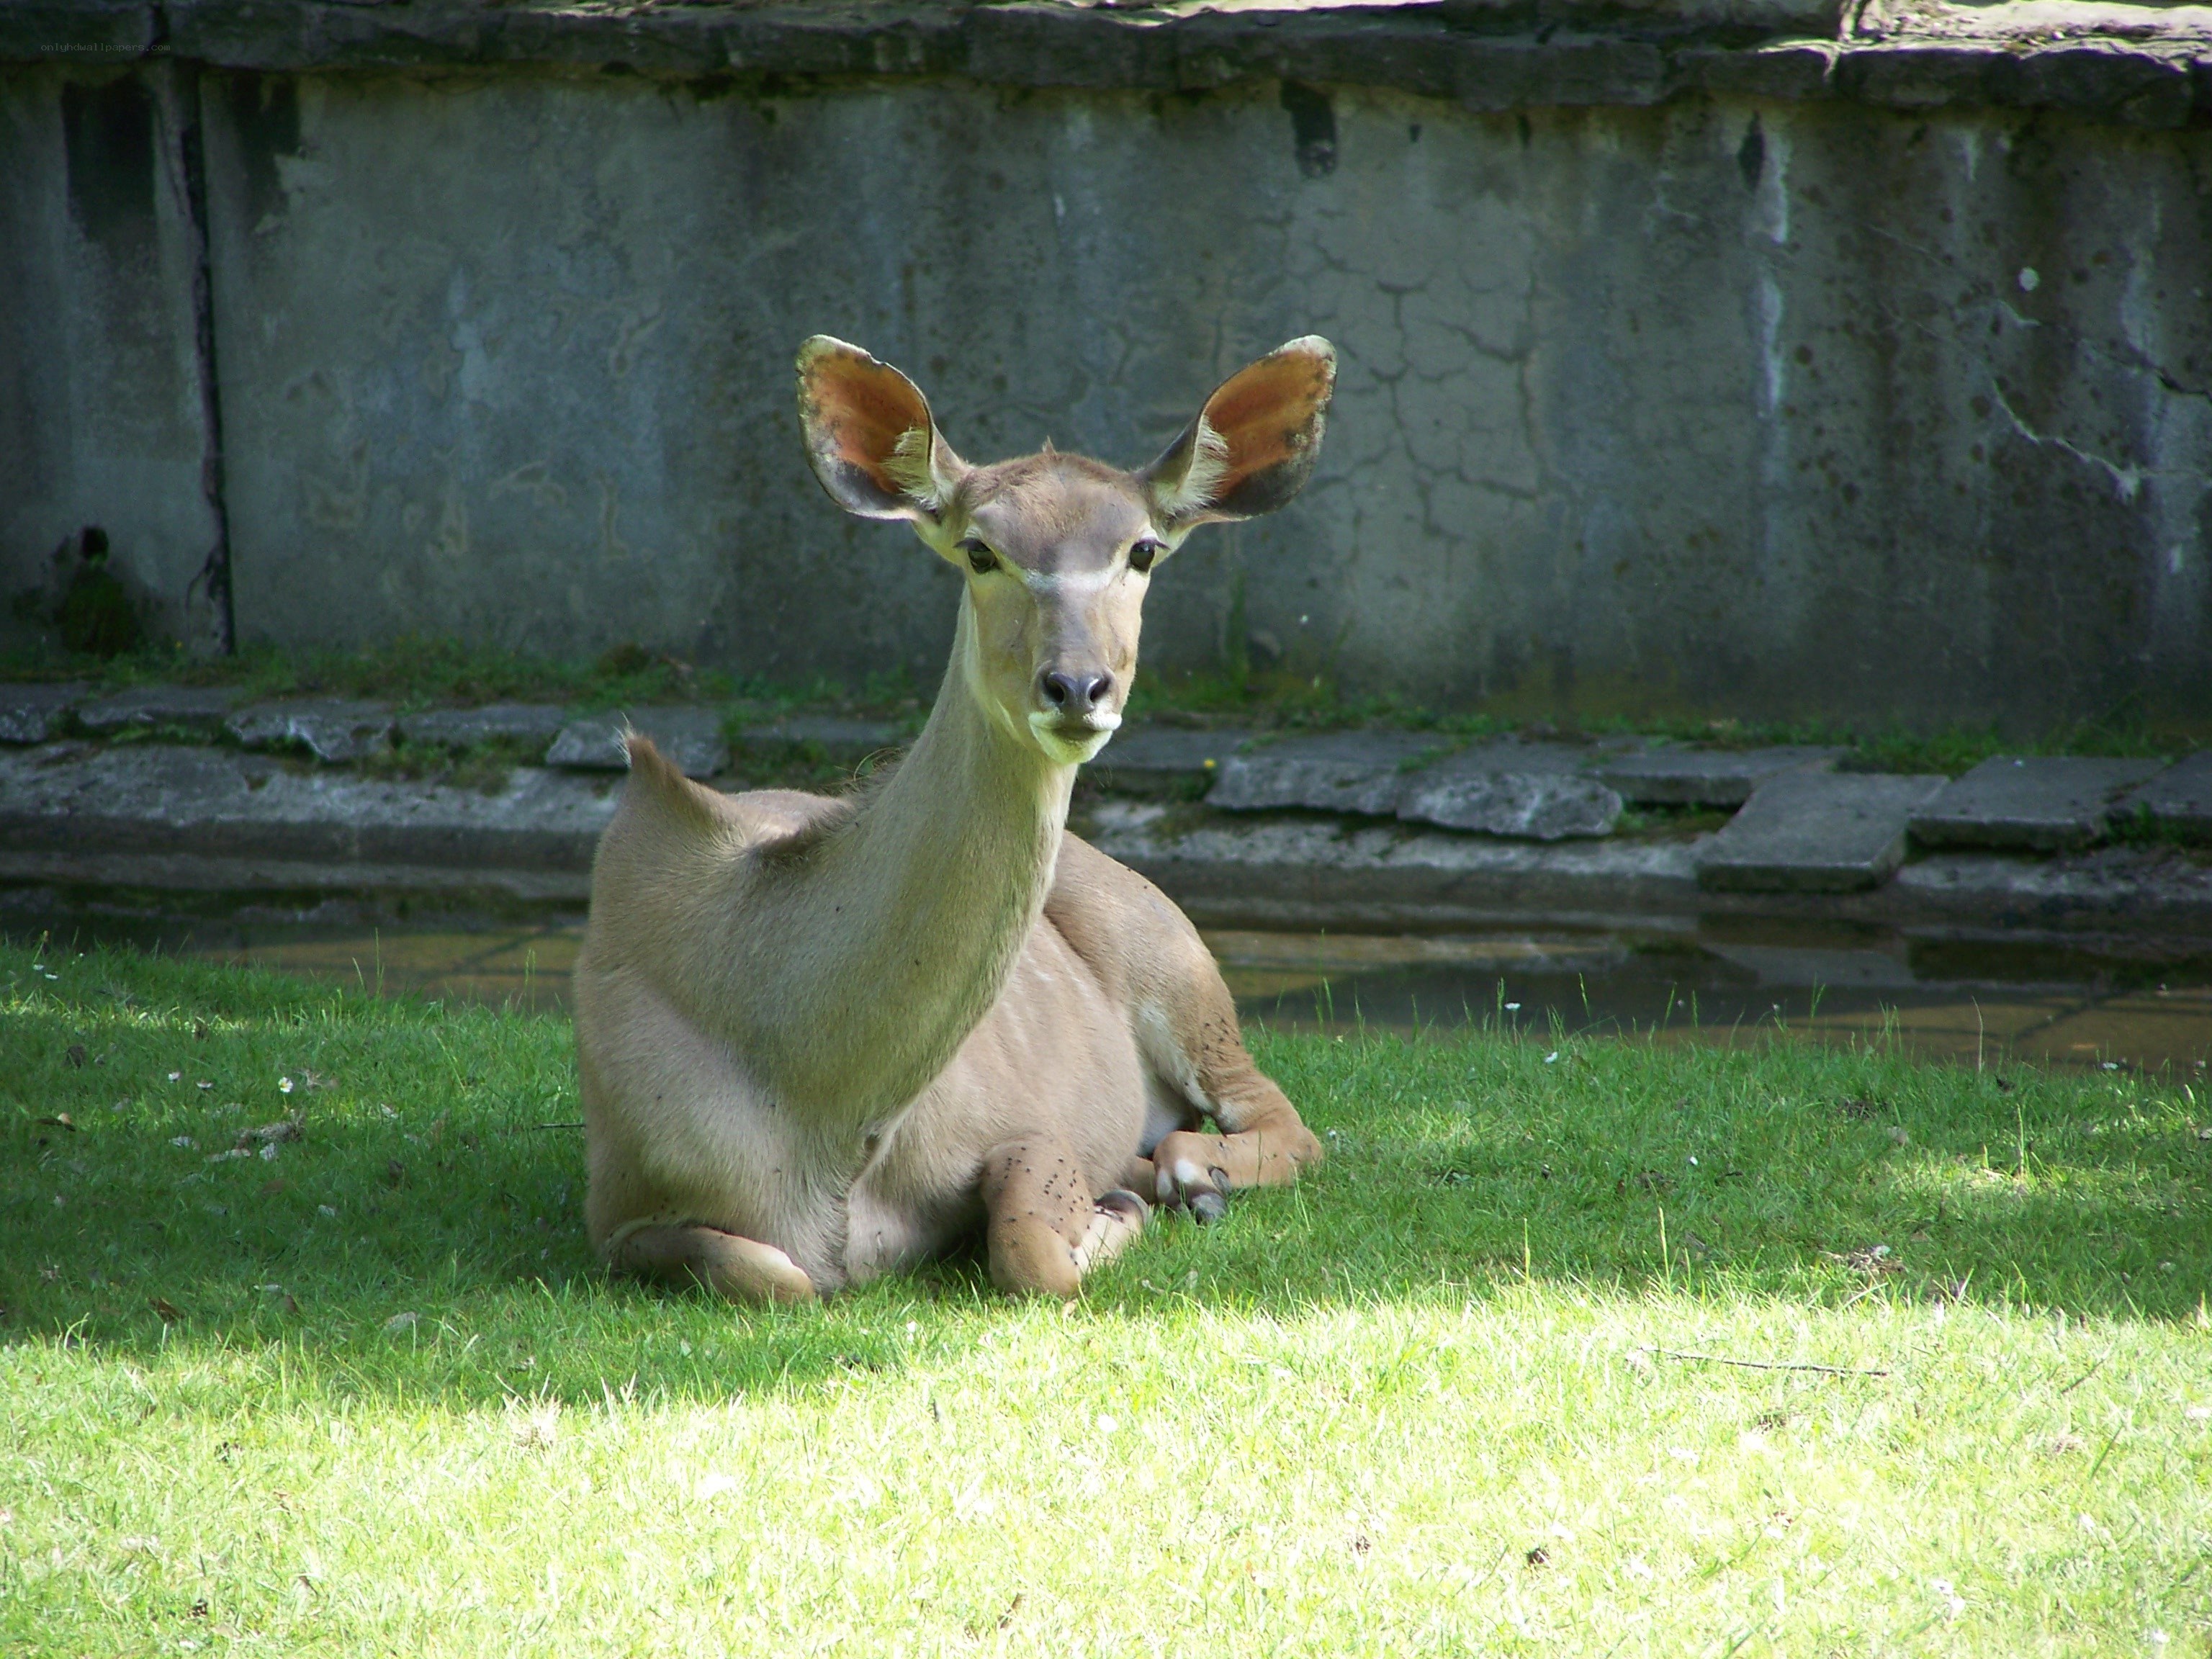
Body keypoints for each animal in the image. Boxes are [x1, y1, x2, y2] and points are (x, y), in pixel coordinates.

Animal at [573, 335, 1335, 1301]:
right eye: (980, 550)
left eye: (1143, 549)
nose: (1078, 687)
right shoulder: (618, 1212)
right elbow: (772, 1271)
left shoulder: (1031, 1127)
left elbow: (1032, 1245)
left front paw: (1122, 1208)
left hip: (1179, 968)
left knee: (1286, 1123)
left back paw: (1193, 1176)